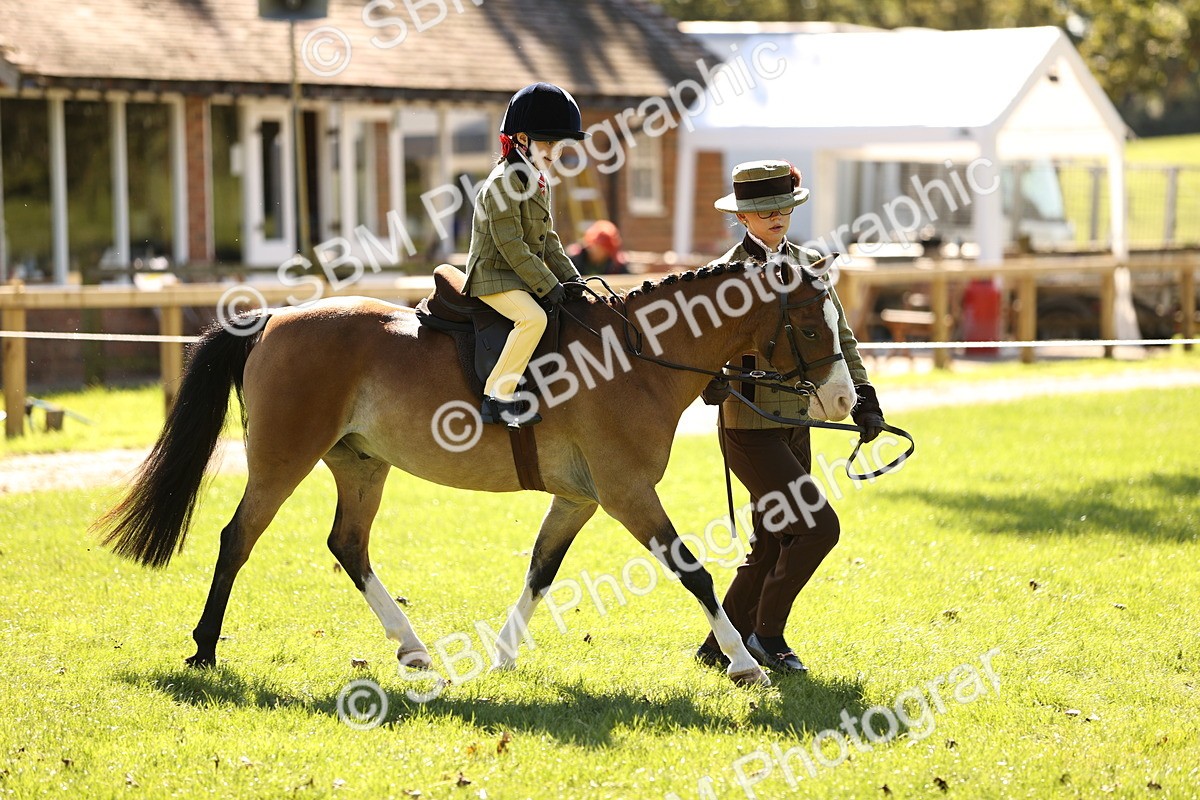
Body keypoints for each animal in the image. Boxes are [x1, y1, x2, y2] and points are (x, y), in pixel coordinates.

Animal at [95, 259, 855, 687]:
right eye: (811, 327)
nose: (844, 401)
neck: (636, 357)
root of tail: (275, 319)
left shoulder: (580, 499)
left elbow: (541, 571)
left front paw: (505, 658)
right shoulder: (627, 493)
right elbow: (694, 572)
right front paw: (745, 664)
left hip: (361, 464)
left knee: (348, 545)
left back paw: (413, 650)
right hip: (284, 459)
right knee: (238, 539)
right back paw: (204, 651)